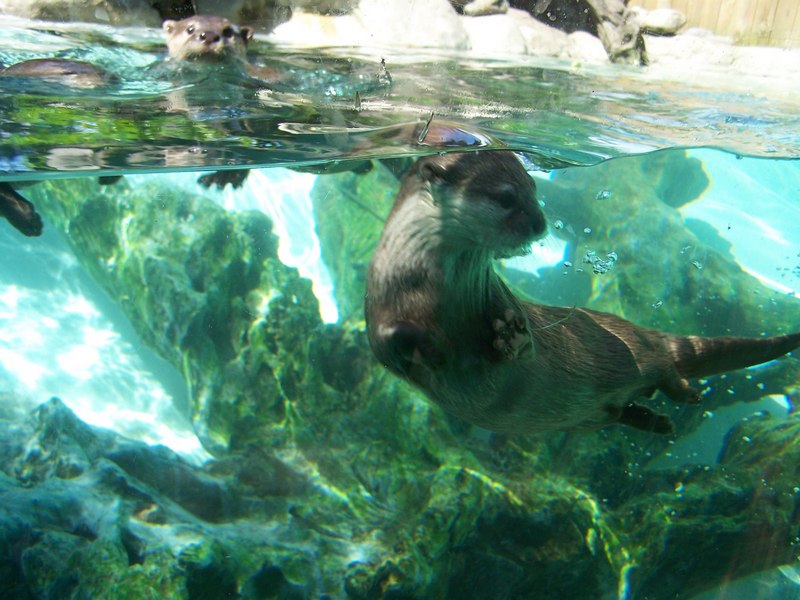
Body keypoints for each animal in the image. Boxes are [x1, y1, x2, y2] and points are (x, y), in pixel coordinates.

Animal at [365, 151, 800, 434]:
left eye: (533, 187)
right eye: (506, 197)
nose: (540, 222)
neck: (434, 290)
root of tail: (643, 332)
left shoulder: (496, 294)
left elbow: (524, 340)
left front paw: (512, 336)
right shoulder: (379, 313)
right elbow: (391, 346)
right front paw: (426, 349)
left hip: (643, 355)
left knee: (665, 369)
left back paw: (684, 397)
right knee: (624, 407)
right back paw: (658, 421)